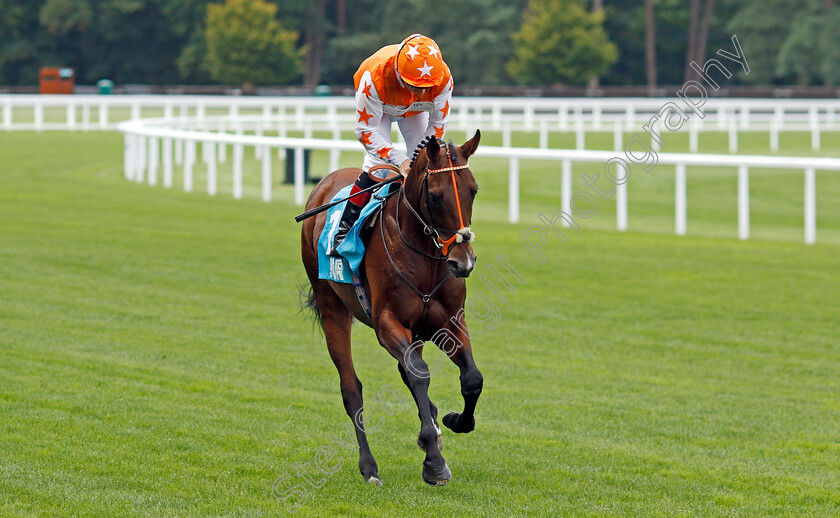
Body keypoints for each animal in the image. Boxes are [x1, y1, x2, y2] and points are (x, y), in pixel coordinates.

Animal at [302, 131, 486, 488]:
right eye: (436, 196)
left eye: (473, 189)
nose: (463, 262)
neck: (427, 259)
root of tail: (325, 182)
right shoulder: (388, 323)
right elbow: (420, 374)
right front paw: (434, 462)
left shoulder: (449, 323)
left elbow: (471, 378)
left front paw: (453, 420)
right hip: (332, 308)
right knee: (352, 389)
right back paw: (369, 467)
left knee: (408, 369)